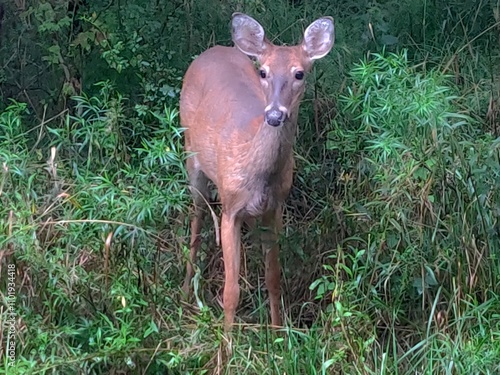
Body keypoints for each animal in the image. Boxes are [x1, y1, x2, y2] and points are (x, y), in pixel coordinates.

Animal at [178, 11, 334, 330]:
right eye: (263, 72)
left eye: (300, 74)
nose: (274, 115)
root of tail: (211, 51)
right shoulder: (230, 208)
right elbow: (230, 292)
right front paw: (226, 343)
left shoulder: (274, 208)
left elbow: (274, 278)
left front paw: (277, 333)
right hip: (192, 158)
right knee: (197, 216)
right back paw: (187, 289)